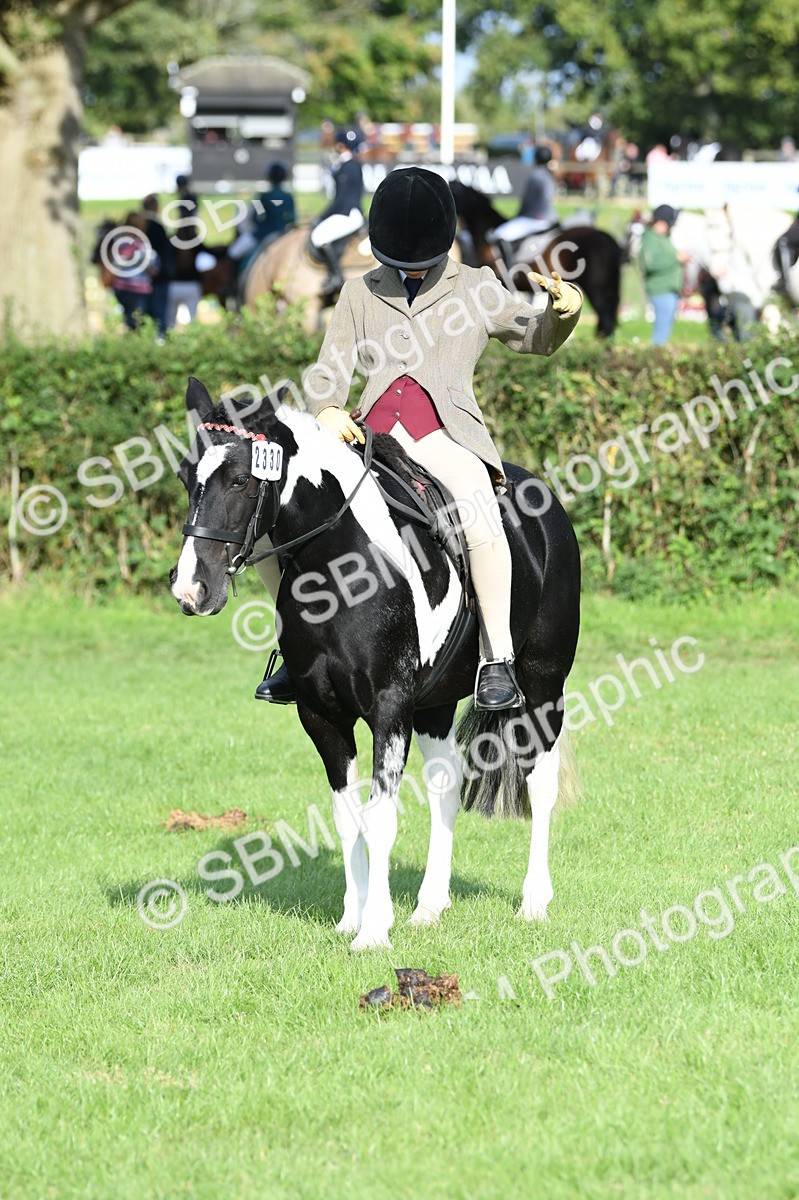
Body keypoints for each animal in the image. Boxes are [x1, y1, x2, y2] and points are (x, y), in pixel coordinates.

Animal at [170, 379, 581, 950]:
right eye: (187, 478)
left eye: (241, 480)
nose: (191, 589)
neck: (338, 570)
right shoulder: (322, 715)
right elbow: (347, 818)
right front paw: (352, 916)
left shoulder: (389, 707)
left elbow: (380, 816)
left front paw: (373, 931)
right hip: (434, 702)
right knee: (447, 785)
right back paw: (430, 906)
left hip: (543, 686)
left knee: (540, 784)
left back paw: (534, 902)